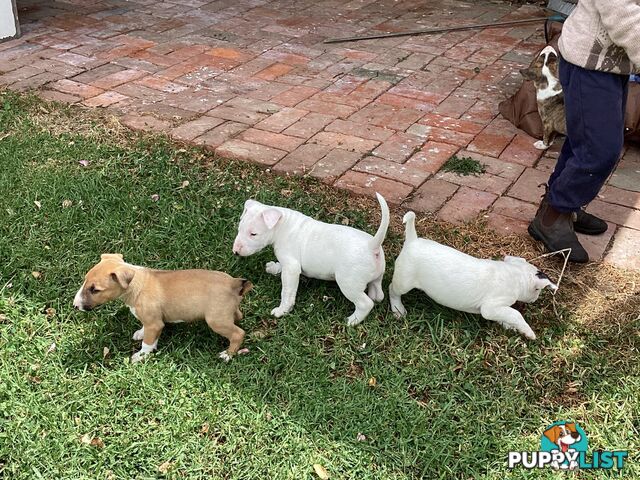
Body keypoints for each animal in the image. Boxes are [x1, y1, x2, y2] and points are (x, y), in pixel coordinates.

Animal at [74, 253, 254, 362]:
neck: (136, 285)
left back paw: (227, 355)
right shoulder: (151, 322)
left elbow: (148, 343)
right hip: (227, 313)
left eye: (95, 290)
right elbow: (146, 332)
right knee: (238, 316)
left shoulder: (155, 324)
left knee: (238, 333)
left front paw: (140, 355)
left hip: (216, 320)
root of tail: (233, 283)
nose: (75, 306)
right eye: (84, 280)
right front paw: (140, 333)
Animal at [231, 192, 390, 326]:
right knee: (378, 295)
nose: (235, 252)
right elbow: (281, 266)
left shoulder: (292, 268)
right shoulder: (289, 264)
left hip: (348, 283)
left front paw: (282, 310)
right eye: (239, 229)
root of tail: (372, 246)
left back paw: (352, 321)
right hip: (376, 277)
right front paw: (273, 267)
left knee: (365, 303)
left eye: (253, 234)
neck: (282, 225)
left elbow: (287, 291)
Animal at [388, 212, 556, 340]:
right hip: (404, 281)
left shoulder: (498, 310)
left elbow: (506, 316)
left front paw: (512, 328)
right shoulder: (490, 307)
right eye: (537, 290)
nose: (535, 299)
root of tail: (412, 241)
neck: (515, 274)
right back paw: (398, 309)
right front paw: (528, 332)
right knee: (392, 290)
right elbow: (515, 314)